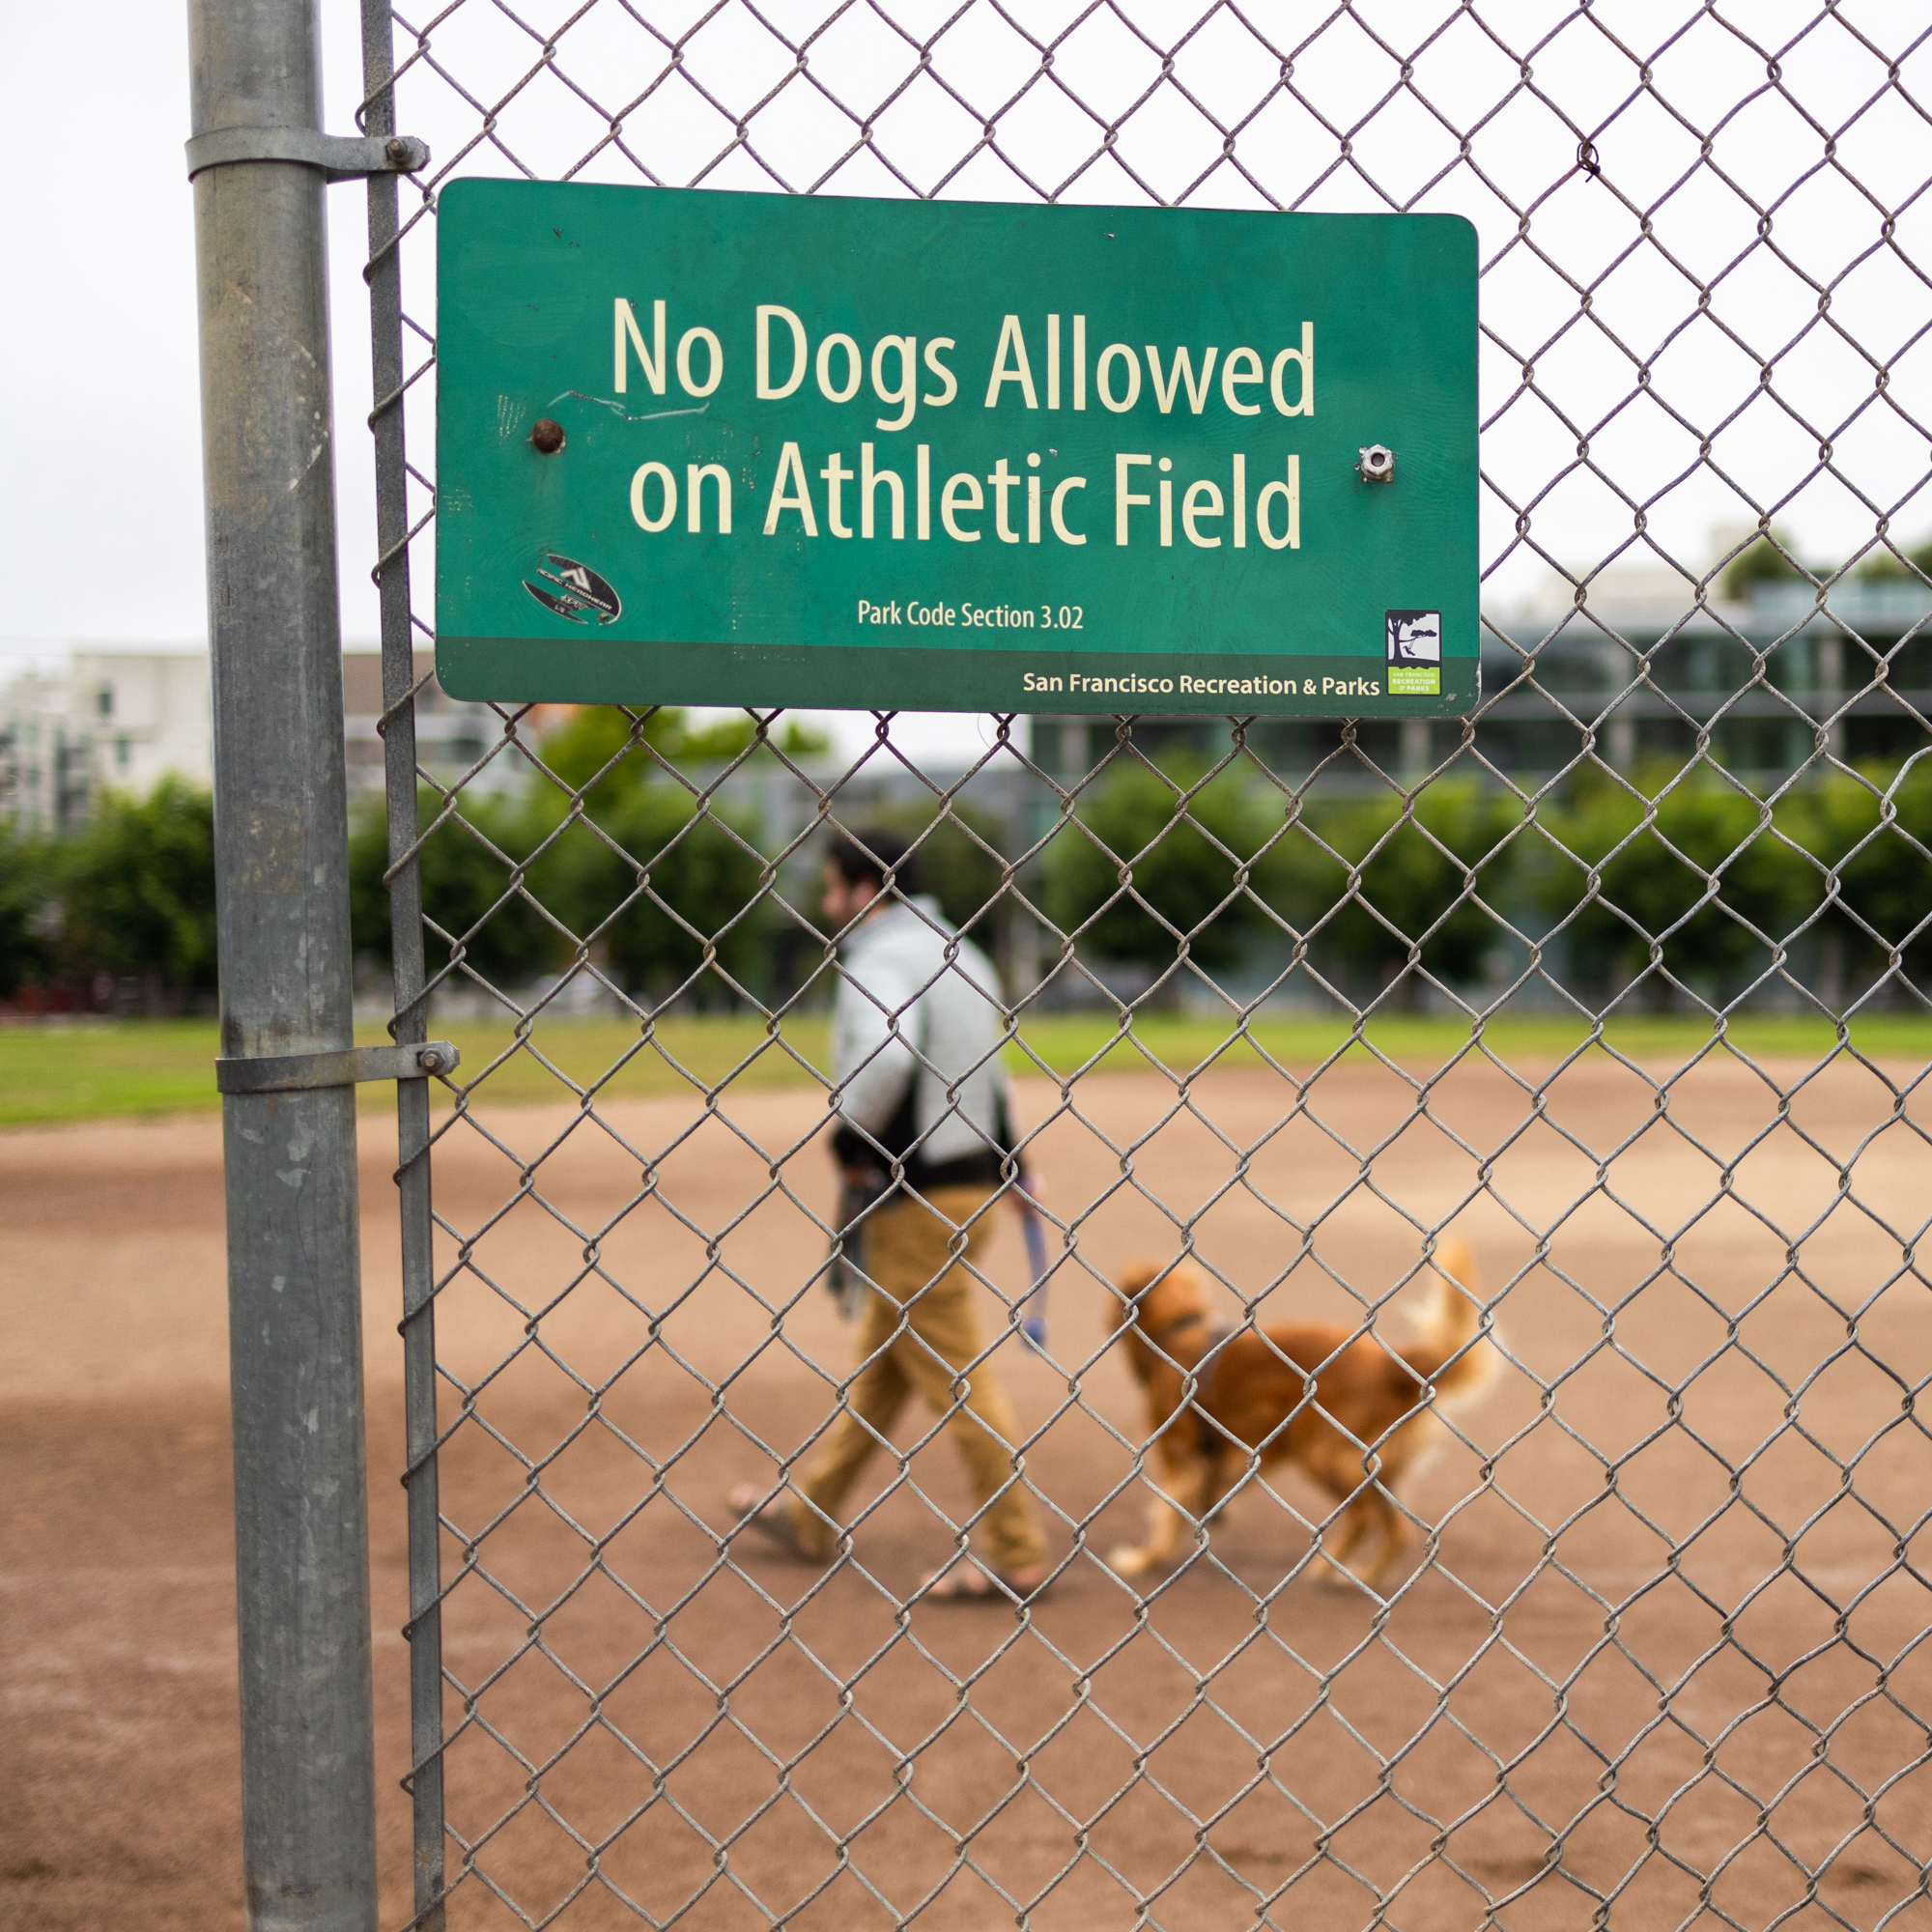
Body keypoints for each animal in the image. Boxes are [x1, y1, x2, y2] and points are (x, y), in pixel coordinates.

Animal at [1105, 1244, 1492, 1592]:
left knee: (1364, 1518)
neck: (1178, 1329)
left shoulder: (1179, 1459)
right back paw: (1366, 1577)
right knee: (1398, 1530)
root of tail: (1389, 1364)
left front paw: (1145, 1559)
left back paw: (1330, 1568)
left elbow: (1165, 1515)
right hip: (1376, 1469)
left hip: (1326, 1456)